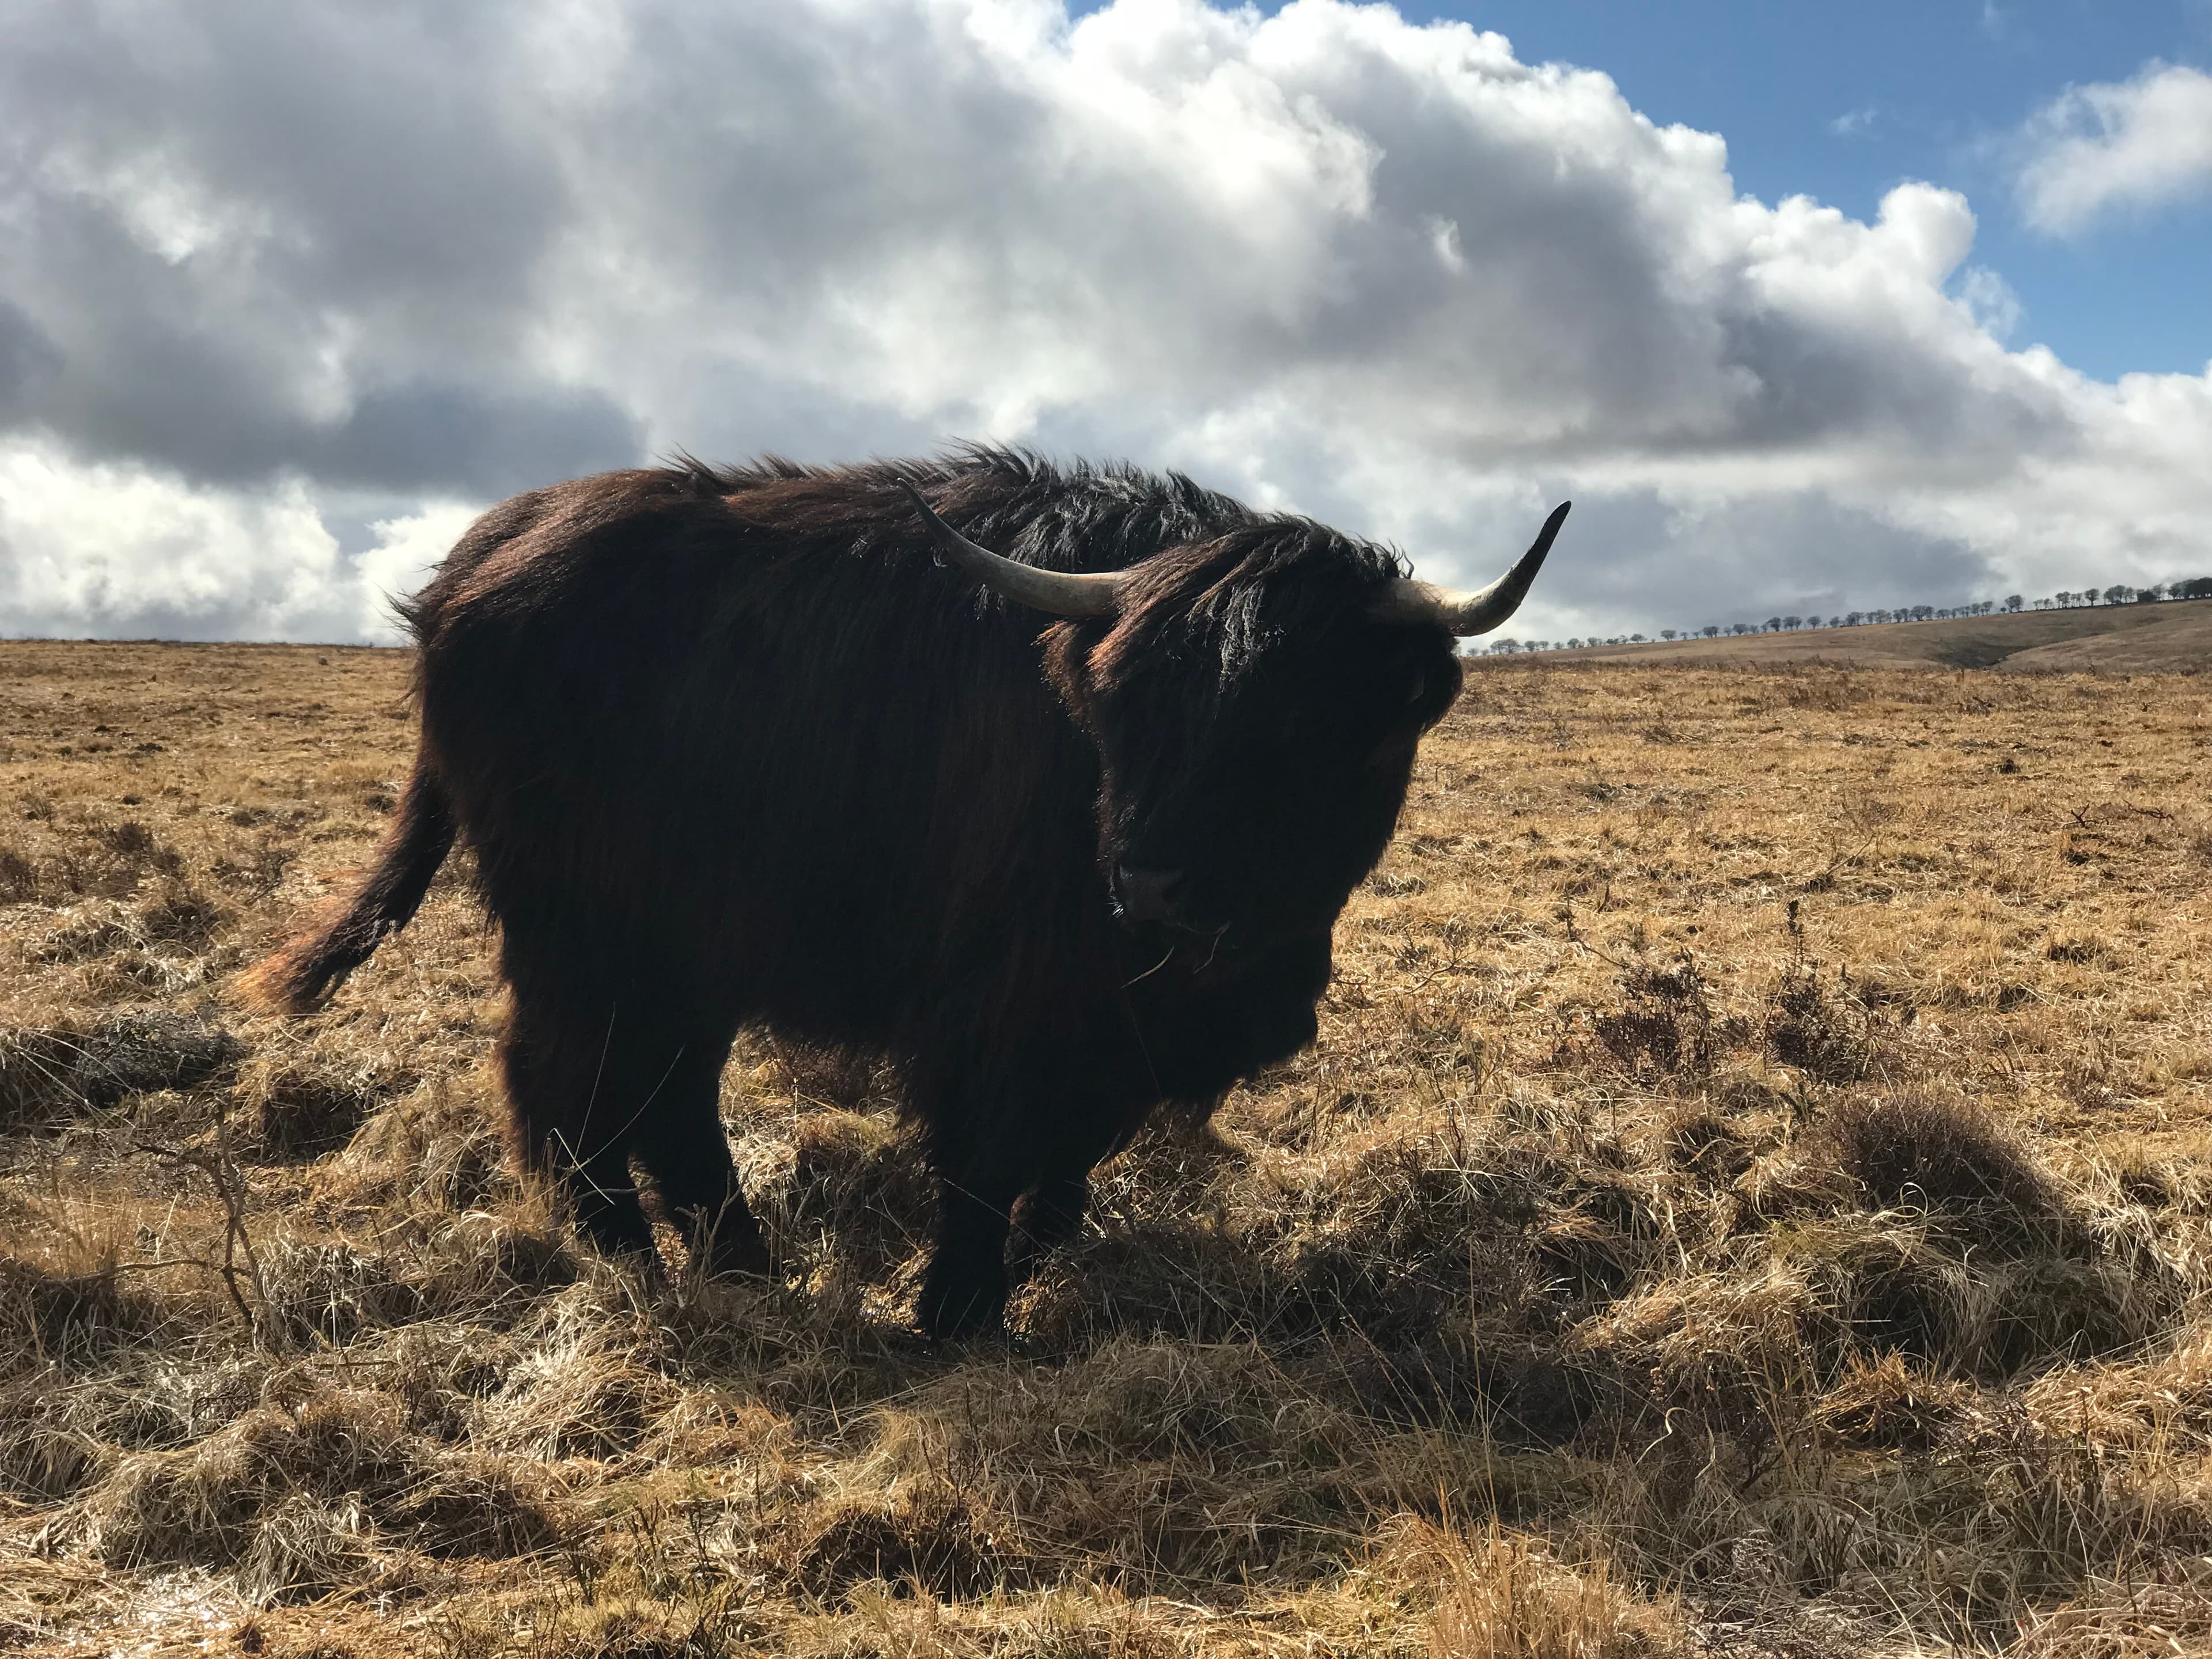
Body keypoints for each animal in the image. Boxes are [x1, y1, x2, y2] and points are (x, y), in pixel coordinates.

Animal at [248, 450, 1566, 1337]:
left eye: (1301, 724)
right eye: (1121, 701)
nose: (1150, 878)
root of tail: (469, 572)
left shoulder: (1116, 1030)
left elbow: (1067, 1160)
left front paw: (1034, 1263)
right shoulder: (1003, 1003)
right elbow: (986, 1153)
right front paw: (959, 1312)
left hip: (689, 951)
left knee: (668, 1102)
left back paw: (742, 1266)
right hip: (584, 939)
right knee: (572, 1093)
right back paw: (645, 1266)